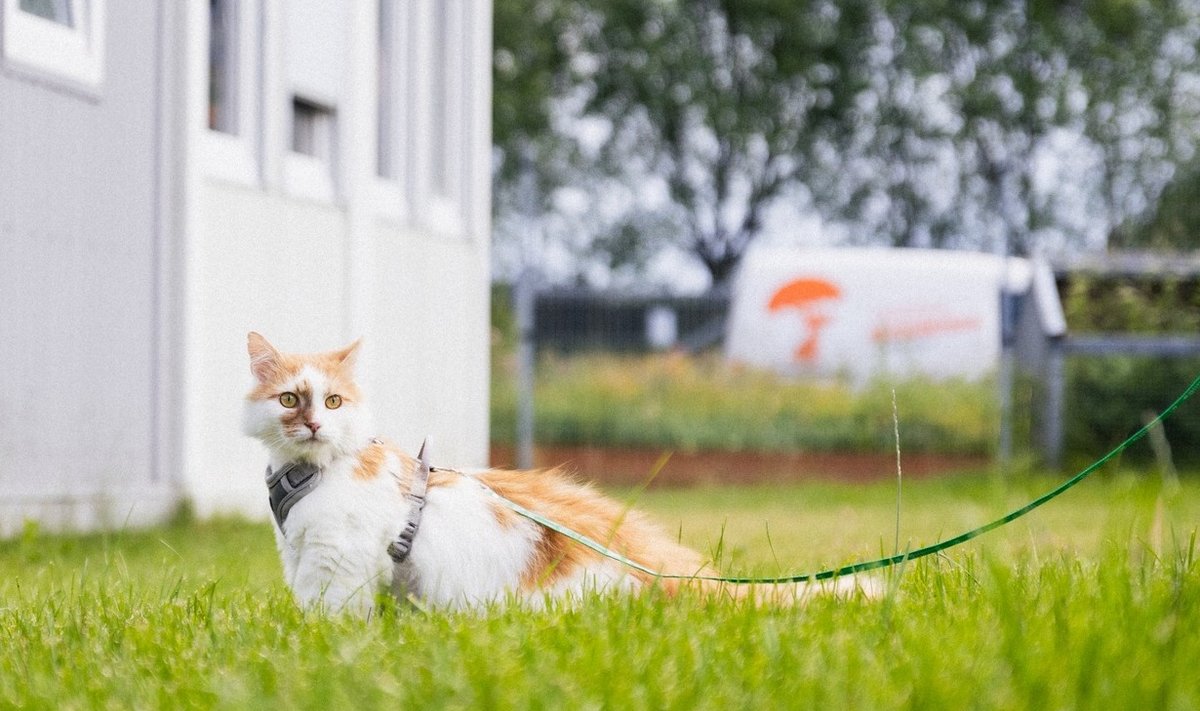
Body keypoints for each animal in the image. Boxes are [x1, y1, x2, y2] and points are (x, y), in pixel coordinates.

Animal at [243, 331, 878, 614]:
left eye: (332, 403)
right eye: (288, 400)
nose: (314, 426)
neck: (307, 474)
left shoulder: (338, 556)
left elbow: (330, 614)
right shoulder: (302, 555)